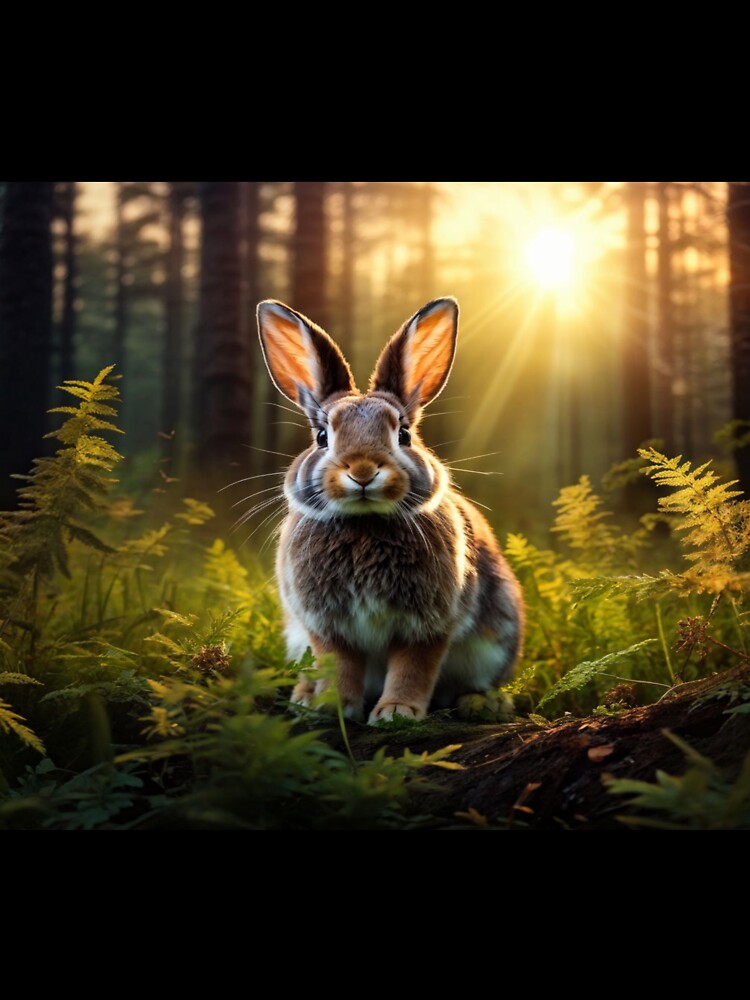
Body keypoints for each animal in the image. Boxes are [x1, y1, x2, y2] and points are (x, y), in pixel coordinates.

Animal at [256, 296, 524, 725]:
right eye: (321, 437)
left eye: (404, 435)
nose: (363, 471)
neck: (365, 525)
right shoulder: (327, 628)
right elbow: (339, 665)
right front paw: (330, 707)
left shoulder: (427, 625)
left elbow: (413, 667)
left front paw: (397, 712)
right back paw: (303, 697)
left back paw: (484, 703)